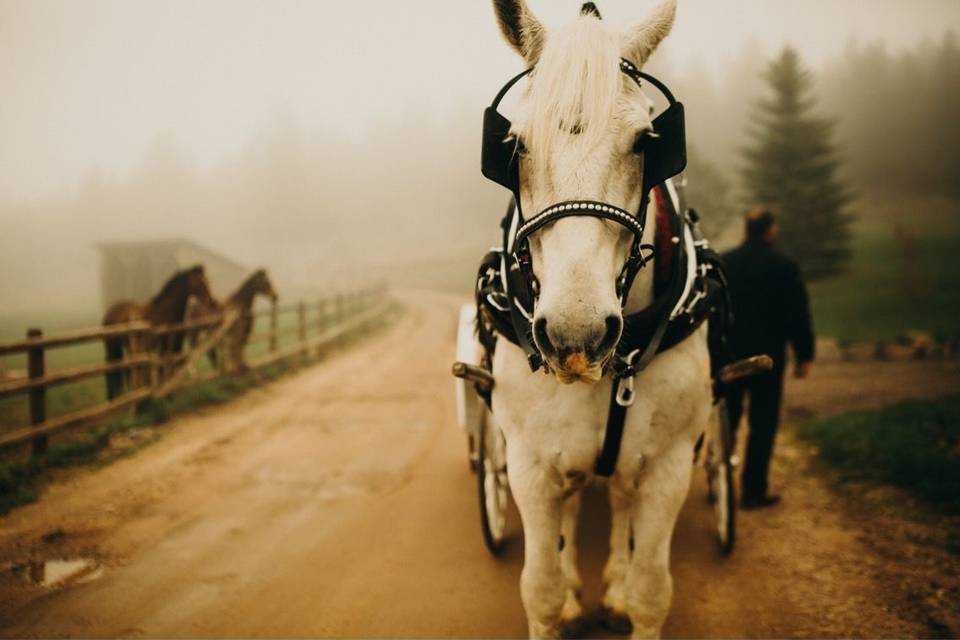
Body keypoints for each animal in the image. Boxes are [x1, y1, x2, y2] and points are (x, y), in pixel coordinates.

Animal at [105, 262, 218, 398]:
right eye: (201, 282)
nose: (212, 301)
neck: (166, 310)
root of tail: (111, 313)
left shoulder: (171, 345)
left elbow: (168, 367)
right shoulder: (167, 344)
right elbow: (165, 368)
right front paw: (168, 395)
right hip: (116, 348)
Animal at [492, 2, 708, 636]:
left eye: (644, 141)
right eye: (516, 144)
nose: (575, 335)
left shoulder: (668, 467)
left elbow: (651, 592)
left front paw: (624, 589)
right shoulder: (530, 464)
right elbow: (538, 588)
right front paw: (559, 597)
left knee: (617, 498)